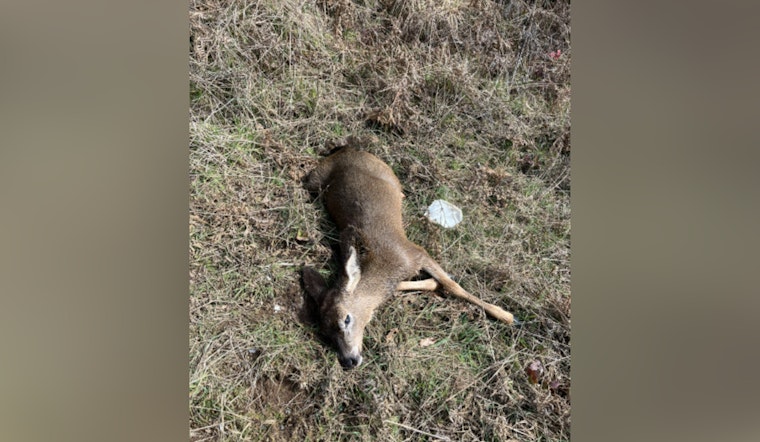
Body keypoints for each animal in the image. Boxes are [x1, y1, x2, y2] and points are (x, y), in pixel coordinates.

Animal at [302, 145, 514, 369]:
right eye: (325, 332)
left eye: (346, 319)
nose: (348, 360)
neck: (386, 268)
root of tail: (346, 149)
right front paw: (433, 283)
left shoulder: (416, 252)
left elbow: (453, 286)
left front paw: (507, 316)